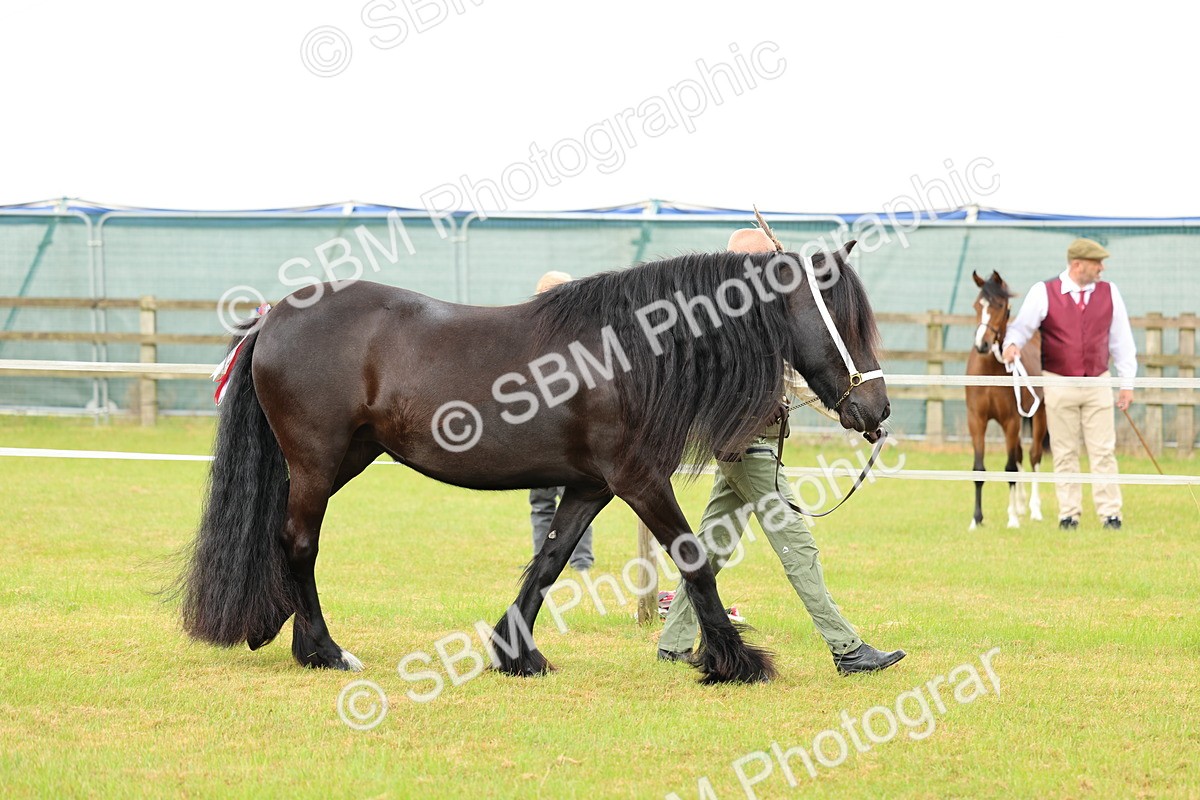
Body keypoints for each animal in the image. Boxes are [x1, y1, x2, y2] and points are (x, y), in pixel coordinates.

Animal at [178, 241, 890, 685]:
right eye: (846, 324)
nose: (876, 410)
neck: (629, 354)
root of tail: (274, 318)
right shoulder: (639, 480)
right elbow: (694, 560)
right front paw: (736, 662)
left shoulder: (591, 486)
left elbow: (549, 562)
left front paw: (516, 654)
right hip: (317, 459)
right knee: (298, 542)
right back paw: (324, 651)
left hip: (343, 458)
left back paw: (287, 634)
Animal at [965, 270, 1048, 529]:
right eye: (977, 305)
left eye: (1001, 306)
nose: (982, 344)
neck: (990, 370)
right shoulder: (977, 421)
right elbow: (979, 468)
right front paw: (976, 519)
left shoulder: (1010, 421)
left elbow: (1010, 468)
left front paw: (1012, 519)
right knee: (1021, 454)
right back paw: (1021, 505)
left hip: (1039, 415)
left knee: (1033, 456)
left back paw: (1034, 509)